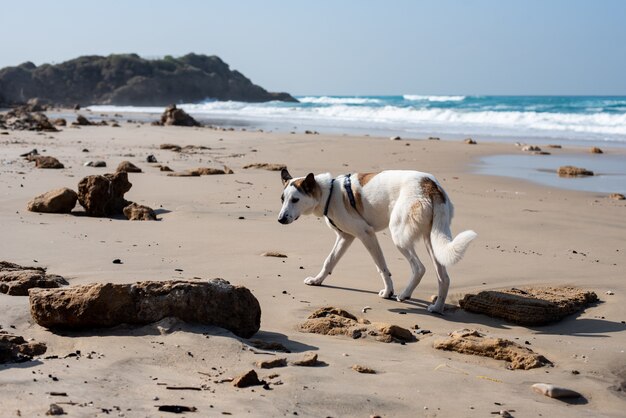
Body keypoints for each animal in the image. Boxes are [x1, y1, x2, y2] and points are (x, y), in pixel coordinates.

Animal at [276, 168, 476, 312]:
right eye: (282, 199)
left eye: (295, 200)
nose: (280, 219)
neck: (329, 193)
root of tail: (430, 185)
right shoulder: (345, 237)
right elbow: (329, 261)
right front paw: (318, 280)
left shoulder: (366, 234)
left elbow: (382, 267)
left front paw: (388, 292)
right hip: (432, 240)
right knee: (444, 277)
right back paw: (437, 307)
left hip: (399, 237)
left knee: (419, 268)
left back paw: (404, 294)